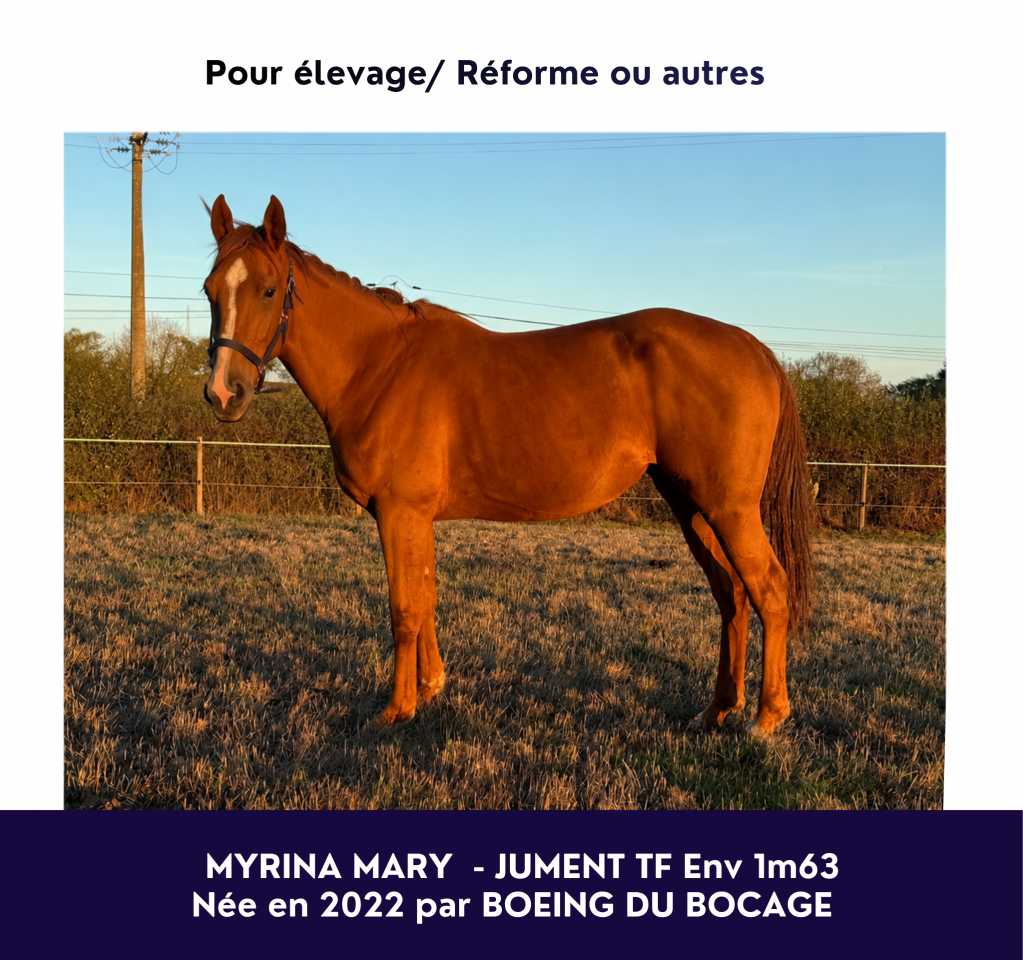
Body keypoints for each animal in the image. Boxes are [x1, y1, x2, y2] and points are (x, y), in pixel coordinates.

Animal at [203, 194, 813, 736]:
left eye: (268, 290)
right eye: (211, 292)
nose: (223, 394)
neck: (380, 365)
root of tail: (755, 348)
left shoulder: (399, 512)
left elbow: (403, 608)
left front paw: (396, 710)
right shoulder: (415, 517)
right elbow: (427, 597)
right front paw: (431, 688)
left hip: (729, 510)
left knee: (770, 590)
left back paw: (766, 719)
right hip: (692, 507)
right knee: (731, 596)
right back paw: (716, 712)